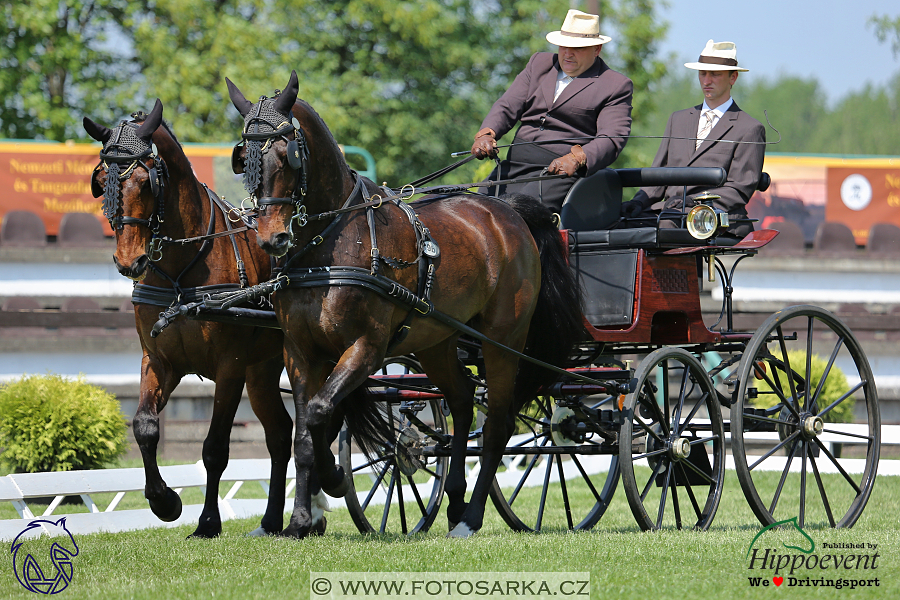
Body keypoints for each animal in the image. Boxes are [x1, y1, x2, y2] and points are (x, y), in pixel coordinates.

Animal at [82, 101, 298, 536]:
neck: (182, 269)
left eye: (147, 182)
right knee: (280, 434)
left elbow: (214, 449)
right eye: (101, 181)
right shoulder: (159, 361)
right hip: (262, 370)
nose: (129, 262)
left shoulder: (230, 367)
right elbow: (144, 426)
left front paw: (208, 522)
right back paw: (270, 521)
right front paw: (164, 501)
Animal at [221, 71, 580, 540]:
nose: (271, 239)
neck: (330, 244)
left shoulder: (366, 348)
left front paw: (334, 479)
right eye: (244, 158)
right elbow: (304, 433)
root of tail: (510, 212)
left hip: (503, 340)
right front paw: (300, 519)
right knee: (462, 400)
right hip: (437, 341)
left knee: (497, 424)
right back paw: (454, 503)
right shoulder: (299, 351)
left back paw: (471, 517)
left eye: (288, 155)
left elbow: (319, 413)